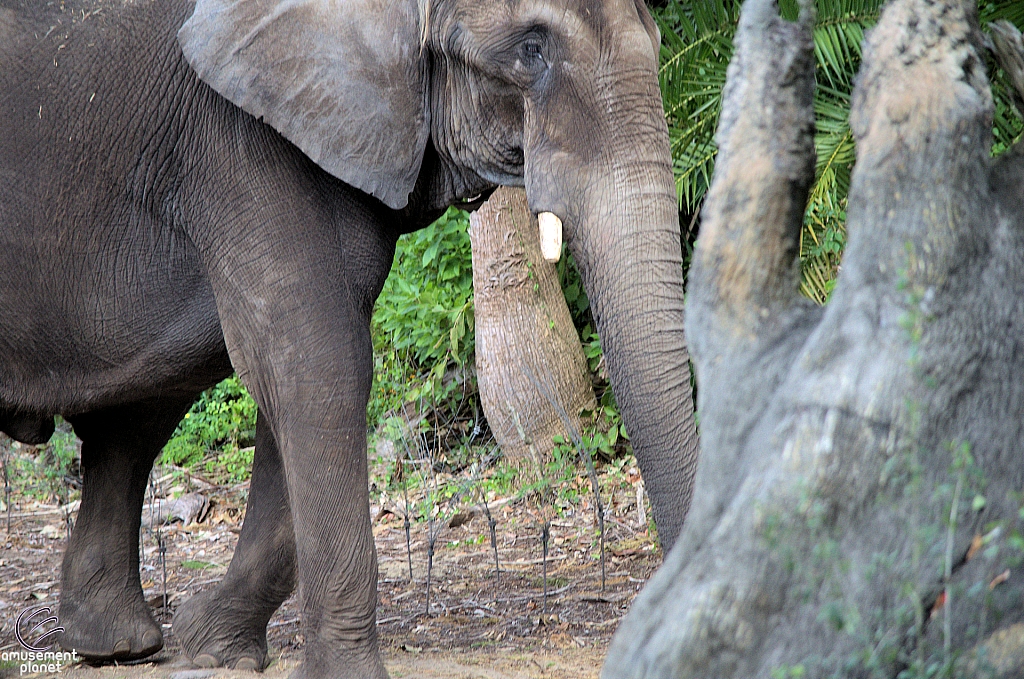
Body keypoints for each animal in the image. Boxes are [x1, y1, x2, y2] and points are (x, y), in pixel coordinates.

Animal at [0, 0, 696, 675]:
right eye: (531, 49)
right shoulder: (233, 139)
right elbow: (320, 363)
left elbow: (303, 365)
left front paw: (211, 647)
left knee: (138, 415)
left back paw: (117, 647)